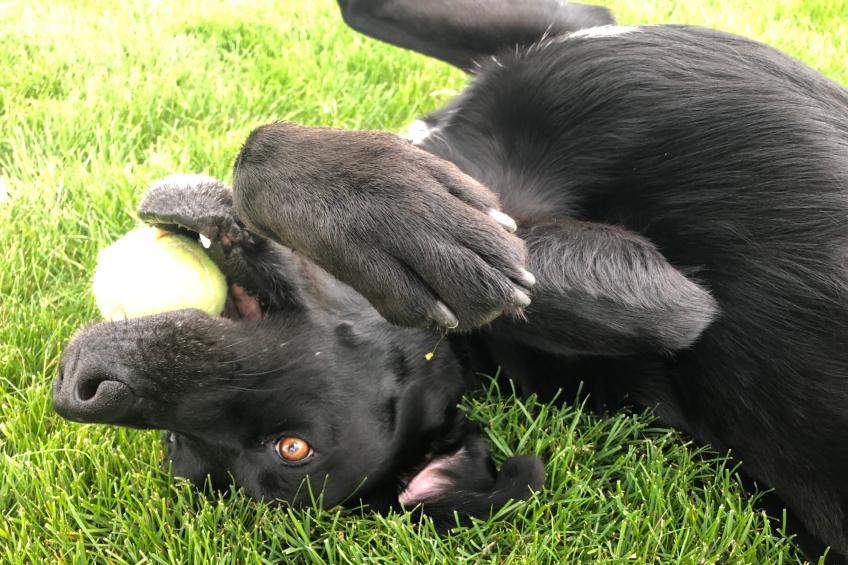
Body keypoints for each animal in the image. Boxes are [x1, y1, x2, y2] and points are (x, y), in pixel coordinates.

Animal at [53, 0, 848, 556]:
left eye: (290, 448)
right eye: (182, 451)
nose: (81, 384)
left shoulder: (580, 28)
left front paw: (389, 205)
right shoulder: (669, 297)